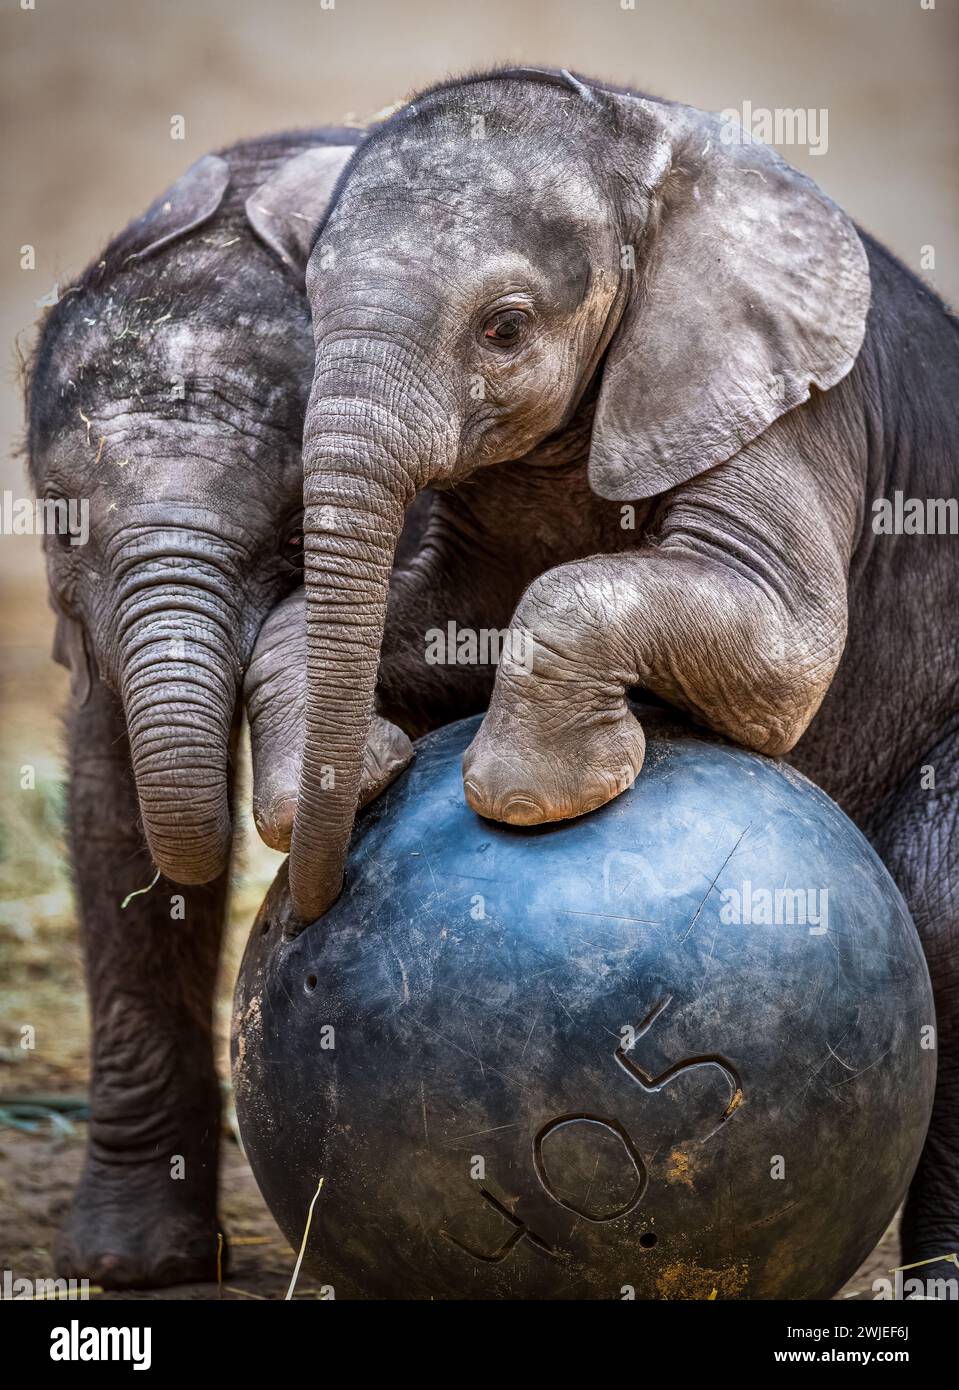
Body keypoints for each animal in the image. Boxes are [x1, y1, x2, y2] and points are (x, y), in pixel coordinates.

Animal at [259, 67, 956, 1278]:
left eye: (503, 328)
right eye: (311, 306)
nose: (312, 909)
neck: (643, 146)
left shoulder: (788, 403)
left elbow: (779, 642)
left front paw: (534, 795)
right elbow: (436, 622)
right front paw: (344, 765)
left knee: (945, 908)